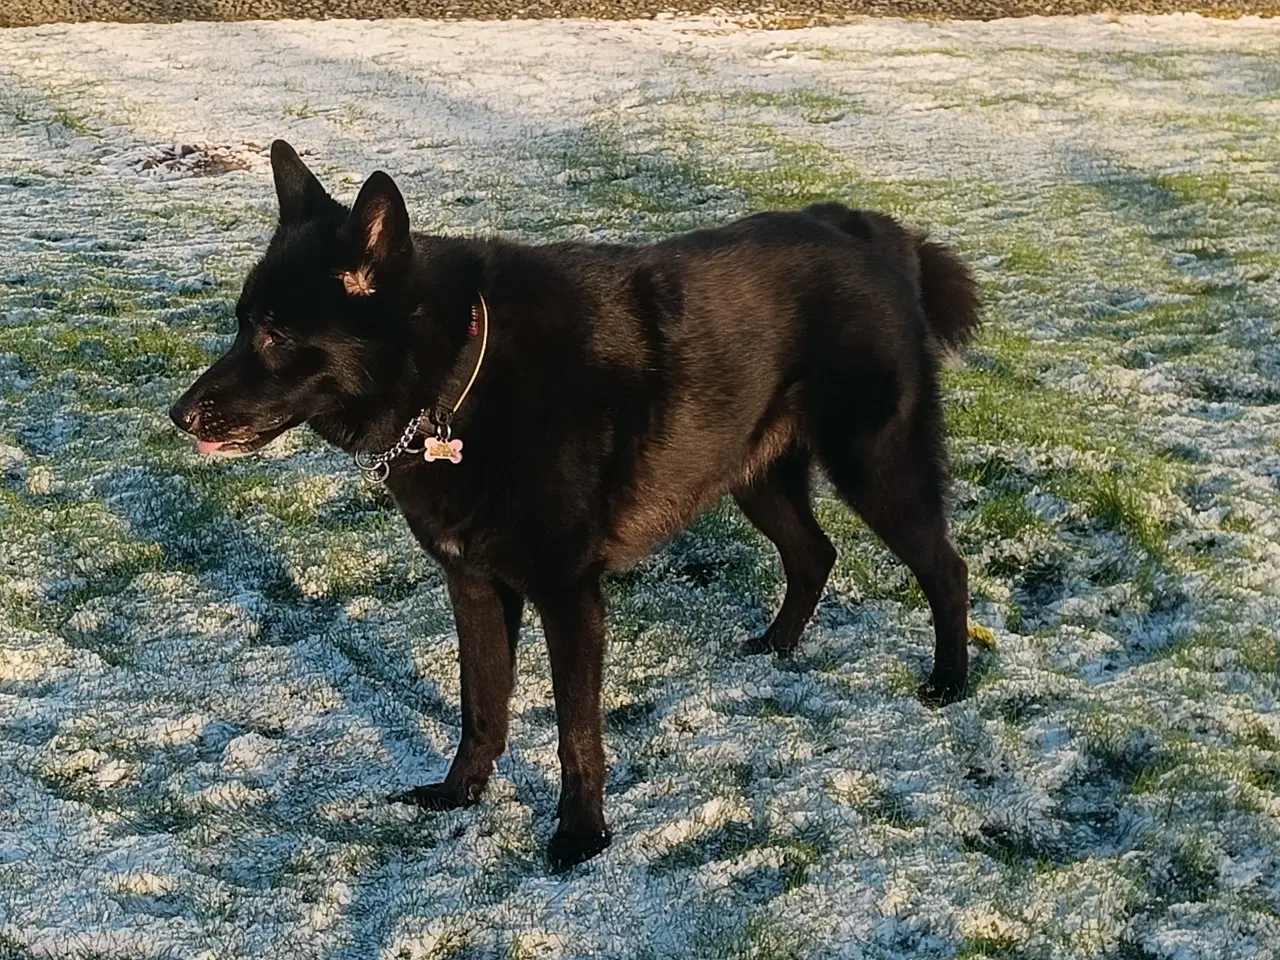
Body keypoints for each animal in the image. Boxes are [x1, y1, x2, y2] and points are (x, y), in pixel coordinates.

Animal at [172, 140, 977, 870]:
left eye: (274, 334)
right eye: (242, 322)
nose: (178, 415)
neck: (454, 386)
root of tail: (873, 231)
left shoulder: (568, 595)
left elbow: (574, 732)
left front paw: (581, 835)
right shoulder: (474, 584)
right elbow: (480, 704)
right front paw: (460, 795)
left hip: (877, 471)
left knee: (945, 568)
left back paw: (950, 681)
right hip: (756, 476)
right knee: (816, 553)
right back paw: (776, 646)